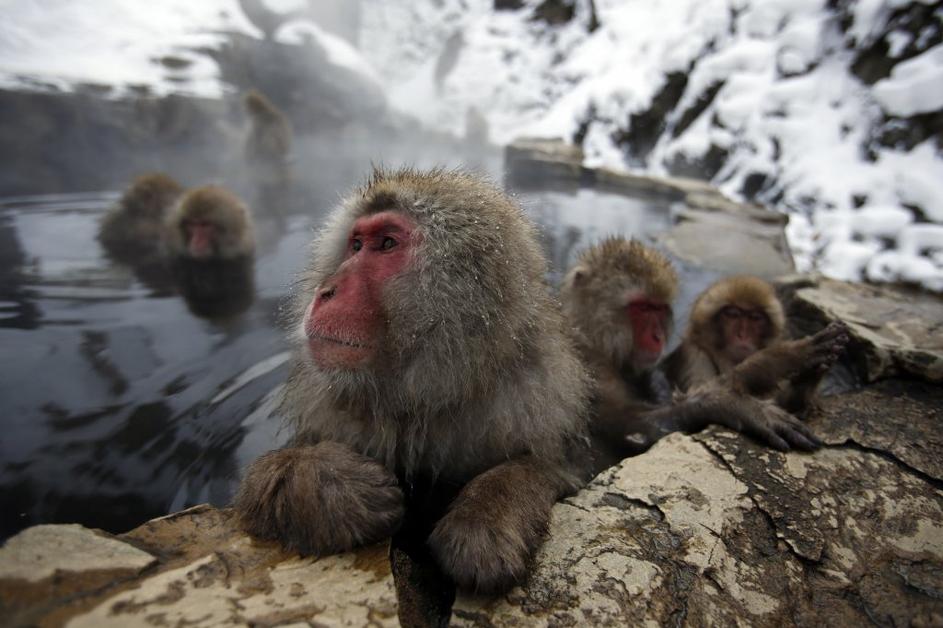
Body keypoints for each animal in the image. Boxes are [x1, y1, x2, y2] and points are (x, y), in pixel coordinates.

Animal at [233, 168, 592, 592]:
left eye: (387, 244)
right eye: (356, 244)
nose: (325, 291)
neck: (427, 395)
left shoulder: (537, 400)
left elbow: (556, 468)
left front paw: (490, 508)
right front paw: (322, 482)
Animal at [564, 238, 824, 474]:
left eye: (659, 308)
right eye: (643, 308)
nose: (657, 337)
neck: (599, 343)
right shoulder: (589, 366)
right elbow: (632, 427)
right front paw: (733, 403)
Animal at [660, 274, 852, 418]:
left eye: (755, 318)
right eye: (732, 314)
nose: (742, 335)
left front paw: (809, 377)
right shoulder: (693, 355)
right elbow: (691, 399)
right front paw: (787, 356)